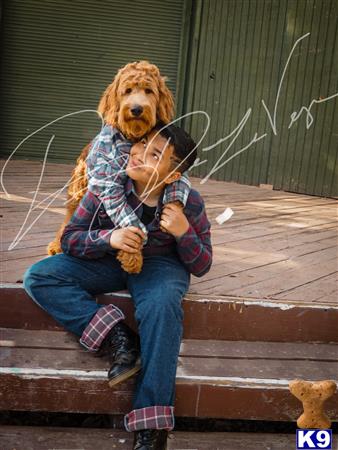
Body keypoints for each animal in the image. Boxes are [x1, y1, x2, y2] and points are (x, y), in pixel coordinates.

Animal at [47, 60, 174, 274]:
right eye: (127, 90)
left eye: (149, 90)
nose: (137, 109)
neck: (133, 139)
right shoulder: (109, 183)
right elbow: (126, 216)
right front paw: (132, 257)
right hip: (79, 188)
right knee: (70, 216)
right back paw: (56, 245)